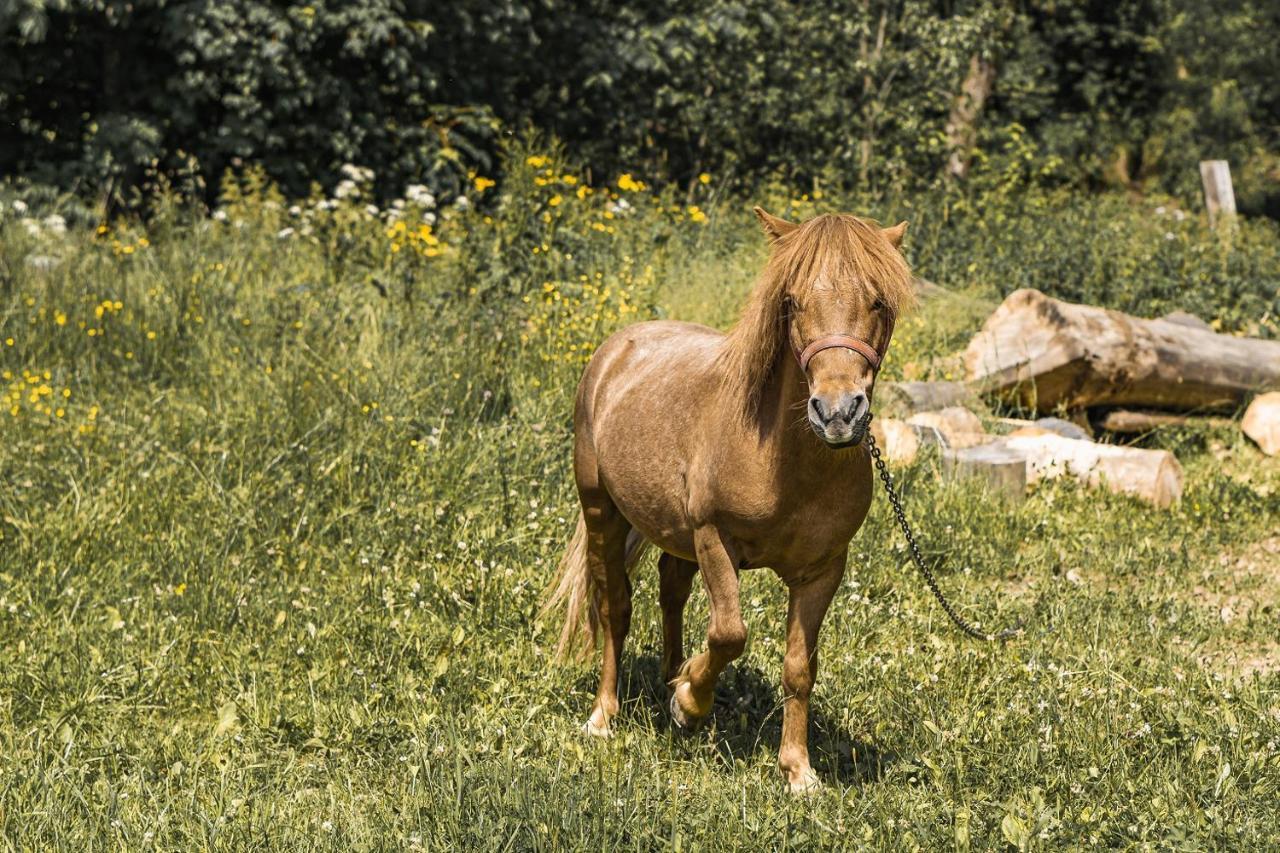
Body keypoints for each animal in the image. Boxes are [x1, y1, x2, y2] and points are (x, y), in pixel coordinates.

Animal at [545, 206, 916, 788]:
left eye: (878, 301)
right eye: (792, 301)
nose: (838, 414)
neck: (784, 463)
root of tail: (618, 347)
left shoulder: (824, 569)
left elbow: (799, 667)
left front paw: (797, 770)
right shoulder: (714, 539)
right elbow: (728, 634)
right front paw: (691, 703)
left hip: (672, 535)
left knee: (670, 593)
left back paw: (670, 681)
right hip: (602, 511)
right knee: (615, 607)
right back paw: (606, 715)